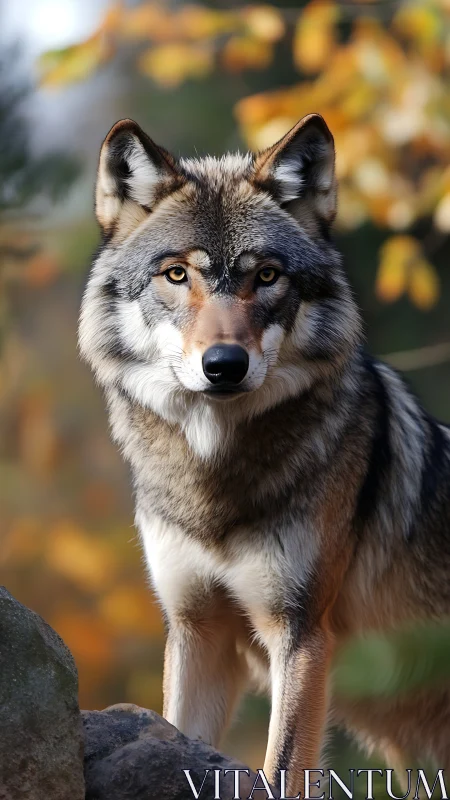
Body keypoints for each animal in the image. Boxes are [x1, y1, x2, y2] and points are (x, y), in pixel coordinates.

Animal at [79, 114, 450, 795]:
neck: (213, 485)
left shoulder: (300, 633)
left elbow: (283, 767)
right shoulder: (197, 633)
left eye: (267, 276)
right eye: (178, 275)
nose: (224, 365)